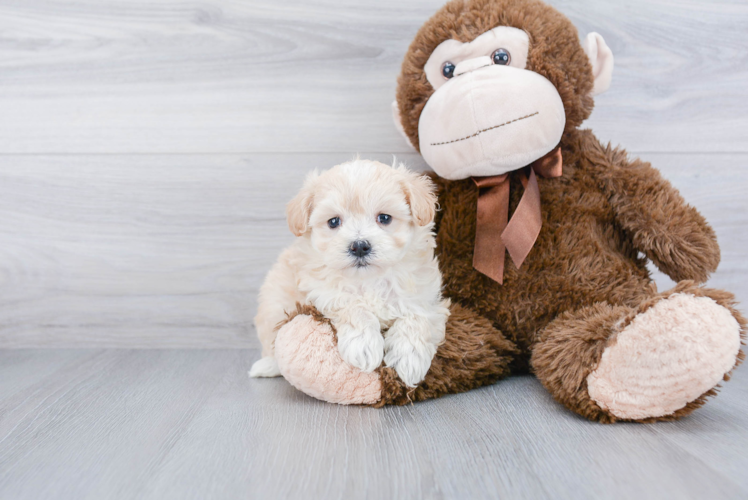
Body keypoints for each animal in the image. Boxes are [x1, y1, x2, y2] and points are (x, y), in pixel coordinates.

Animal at [251, 159, 450, 386]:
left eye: (384, 218)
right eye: (333, 222)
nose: (360, 246)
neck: (370, 280)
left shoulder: (425, 296)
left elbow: (417, 317)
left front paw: (409, 359)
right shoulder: (323, 291)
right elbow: (351, 305)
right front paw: (363, 345)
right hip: (273, 305)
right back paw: (267, 365)